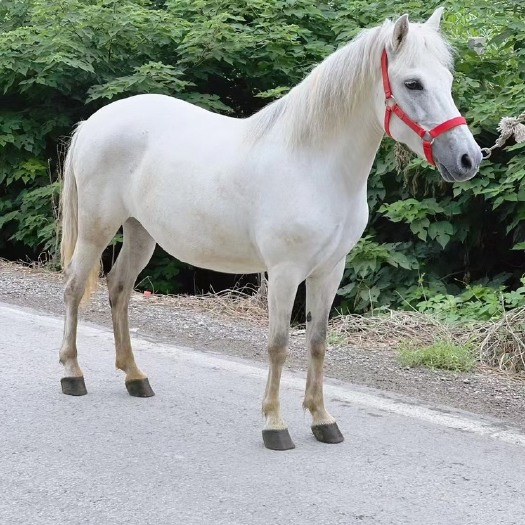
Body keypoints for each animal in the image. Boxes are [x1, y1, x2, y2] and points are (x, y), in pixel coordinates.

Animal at [59, 8, 482, 448]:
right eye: (412, 83)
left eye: (448, 79)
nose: (468, 159)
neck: (315, 165)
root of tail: (95, 121)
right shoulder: (284, 273)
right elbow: (278, 345)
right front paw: (275, 424)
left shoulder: (330, 271)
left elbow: (317, 342)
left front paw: (322, 419)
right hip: (96, 228)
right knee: (74, 287)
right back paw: (72, 374)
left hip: (141, 232)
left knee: (119, 288)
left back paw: (134, 376)